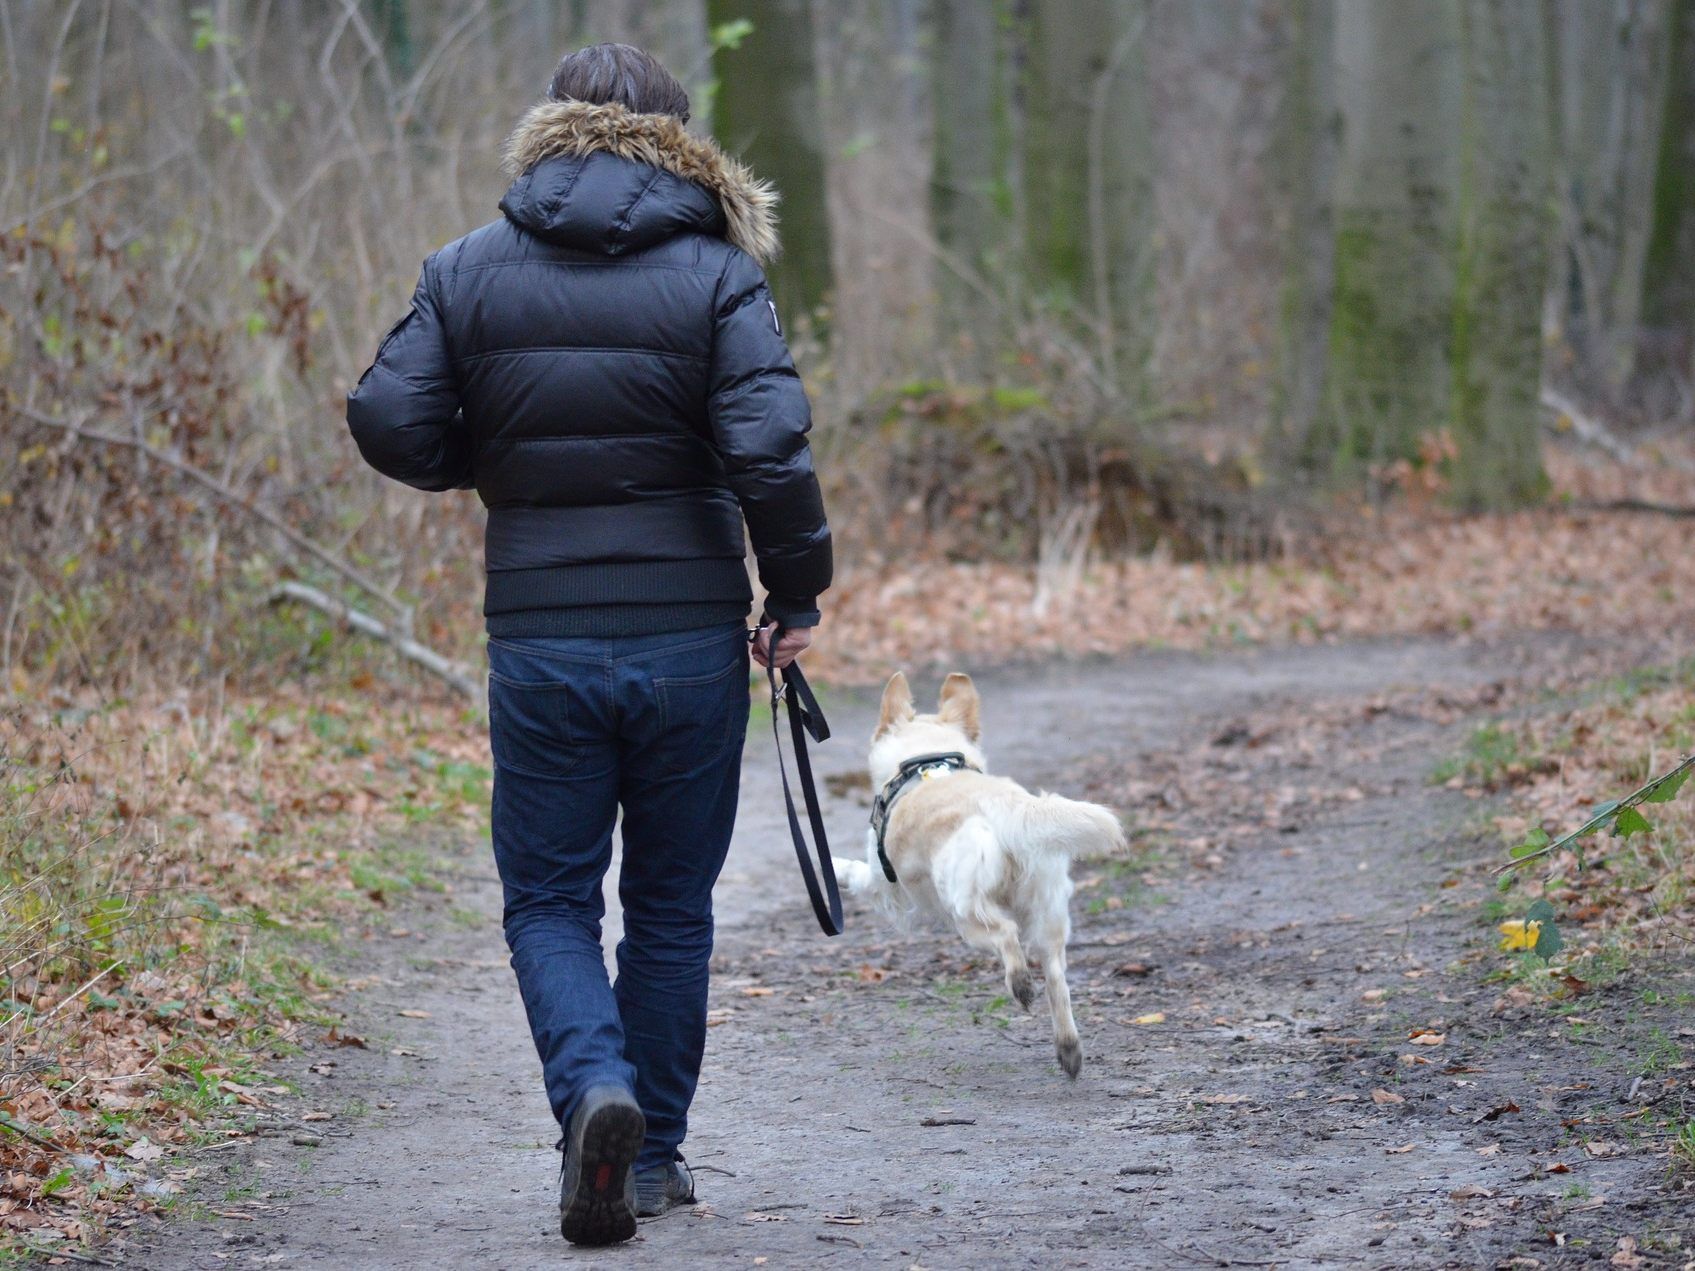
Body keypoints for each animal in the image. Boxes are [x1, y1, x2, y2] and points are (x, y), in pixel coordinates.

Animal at [833, 671, 1125, 1077]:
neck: (927, 760)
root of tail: (1008, 807)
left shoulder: (884, 884)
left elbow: (856, 872)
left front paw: (831, 865)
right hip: (1048, 913)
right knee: (1056, 978)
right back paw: (1068, 1049)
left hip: (965, 912)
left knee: (1007, 936)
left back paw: (1020, 985)